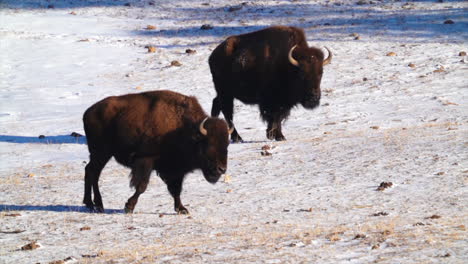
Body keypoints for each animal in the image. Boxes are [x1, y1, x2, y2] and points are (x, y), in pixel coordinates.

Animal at [83, 91, 232, 214]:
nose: (222, 169)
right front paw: (129, 207)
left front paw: (182, 209)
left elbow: (176, 189)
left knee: (90, 170)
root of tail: (88, 113)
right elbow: (142, 185)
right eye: (209, 145)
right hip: (101, 153)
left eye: (226, 145)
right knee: (93, 172)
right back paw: (97, 205)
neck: (184, 129)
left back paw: (91, 204)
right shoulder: (146, 161)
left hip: (101, 154)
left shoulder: (176, 170)